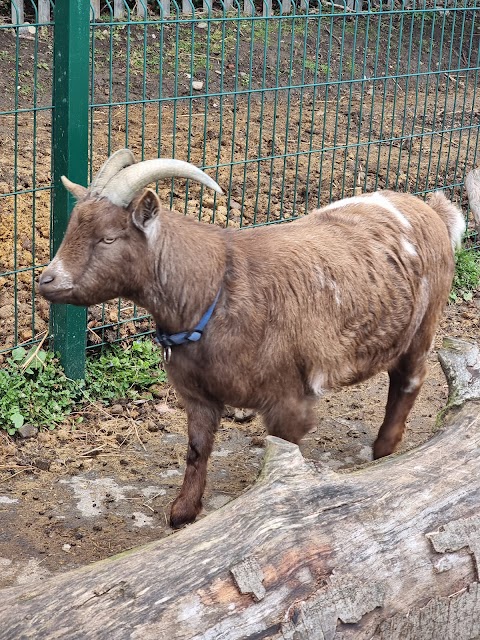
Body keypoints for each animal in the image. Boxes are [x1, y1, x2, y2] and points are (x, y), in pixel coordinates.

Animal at [39, 149, 466, 524]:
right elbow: (197, 449)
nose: (48, 281)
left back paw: (383, 450)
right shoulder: (197, 394)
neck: (216, 288)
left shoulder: (290, 400)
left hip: (425, 322)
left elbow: (285, 456)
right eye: (72, 226)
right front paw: (182, 512)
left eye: (109, 238)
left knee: (410, 379)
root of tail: (432, 211)